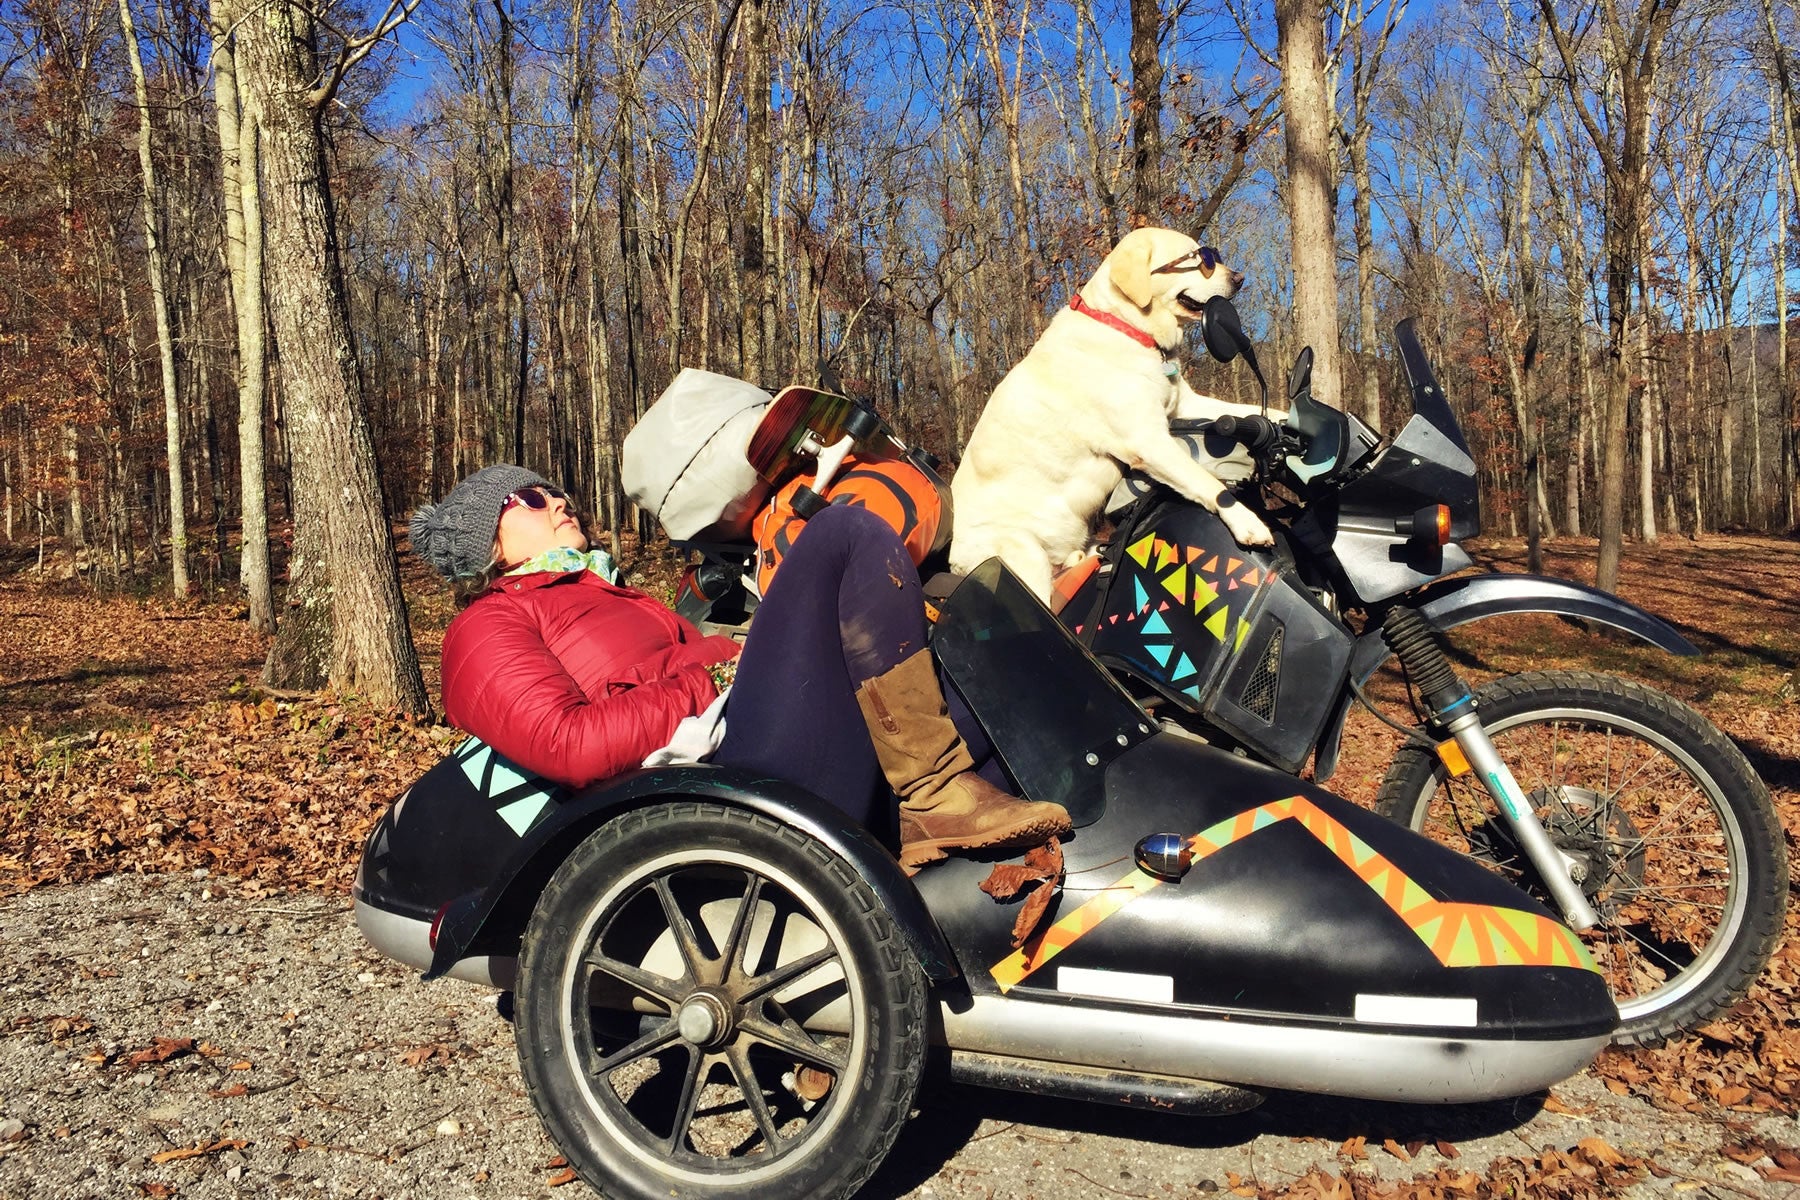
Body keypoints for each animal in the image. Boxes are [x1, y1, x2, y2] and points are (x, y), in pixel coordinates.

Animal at [950, 224, 1274, 600]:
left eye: (1208, 255)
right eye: (1195, 259)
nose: (1240, 278)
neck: (1126, 327)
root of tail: (952, 561)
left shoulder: (1184, 404)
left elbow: (1257, 413)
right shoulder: (1148, 441)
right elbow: (1204, 481)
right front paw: (1247, 523)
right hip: (1023, 557)